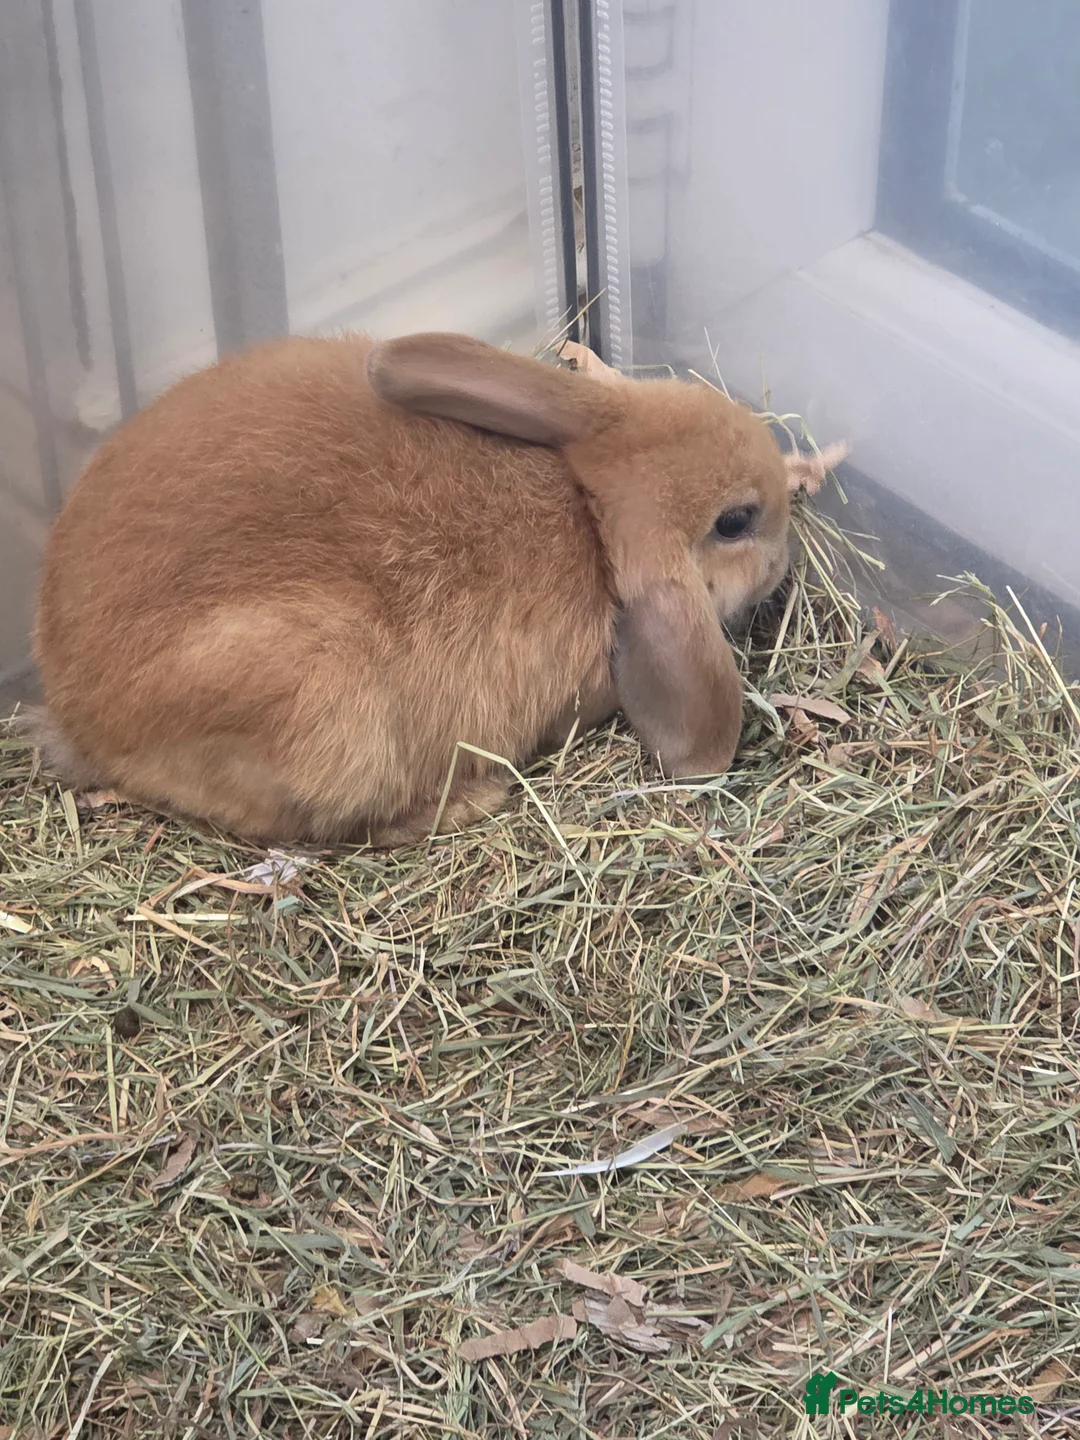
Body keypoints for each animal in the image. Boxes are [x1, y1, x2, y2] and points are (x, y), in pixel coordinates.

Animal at [29, 330, 839, 847]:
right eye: (736, 522)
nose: (786, 560)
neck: (590, 514)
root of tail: (75, 711)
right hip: (329, 712)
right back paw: (474, 800)